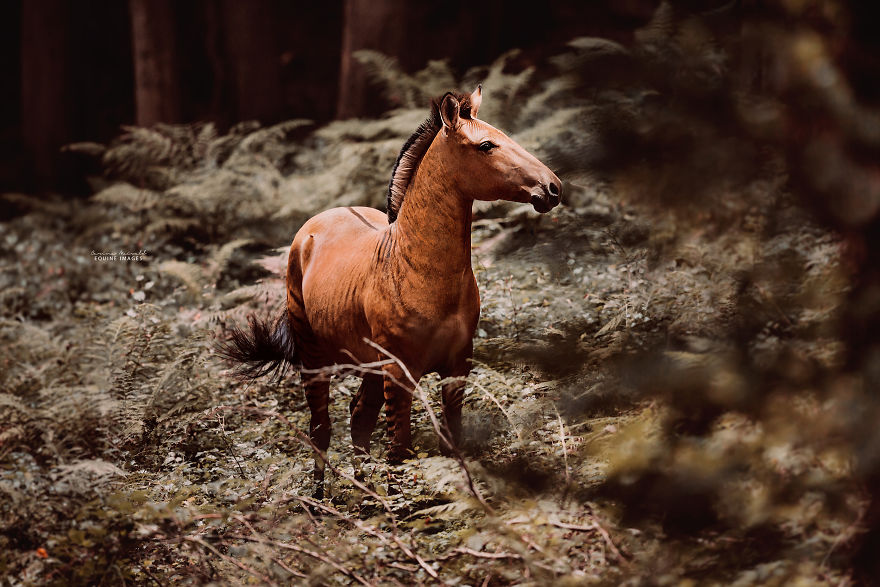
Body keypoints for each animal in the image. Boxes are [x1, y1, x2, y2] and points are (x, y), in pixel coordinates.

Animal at [223, 86, 560, 496]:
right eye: (486, 146)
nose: (553, 187)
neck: (422, 270)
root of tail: (318, 222)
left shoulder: (457, 366)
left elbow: (453, 442)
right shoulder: (400, 373)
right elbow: (400, 452)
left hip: (369, 363)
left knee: (358, 418)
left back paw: (364, 496)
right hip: (314, 358)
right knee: (321, 429)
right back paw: (320, 501)